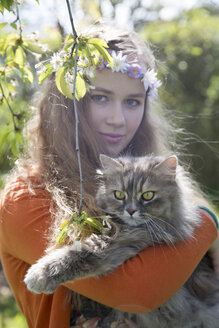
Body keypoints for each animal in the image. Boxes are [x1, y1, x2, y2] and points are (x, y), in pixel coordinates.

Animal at [24, 154, 219, 328]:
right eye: (119, 194)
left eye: (148, 196)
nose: (131, 211)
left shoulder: (118, 244)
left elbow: (76, 254)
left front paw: (38, 275)